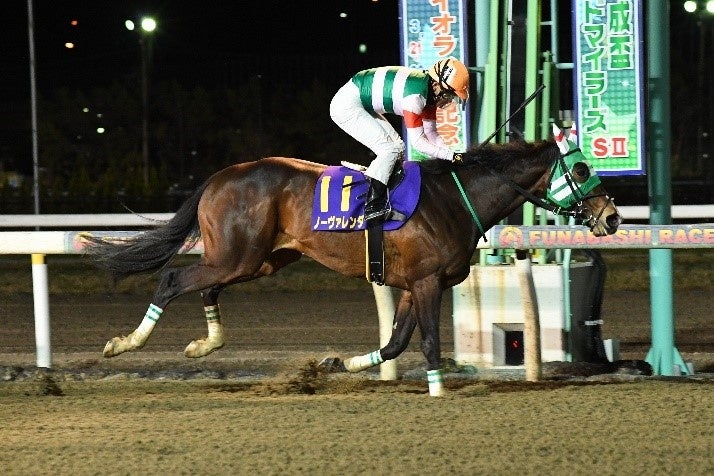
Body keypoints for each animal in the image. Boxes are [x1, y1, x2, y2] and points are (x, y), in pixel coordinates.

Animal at [87, 125, 616, 394]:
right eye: (582, 168)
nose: (610, 218)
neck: (454, 198)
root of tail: (218, 177)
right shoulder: (426, 281)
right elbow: (426, 342)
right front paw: (439, 391)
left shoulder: (414, 284)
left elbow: (395, 342)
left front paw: (340, 363)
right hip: (237, 256)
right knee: (173, 280)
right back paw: (125, 344)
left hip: (257, 260)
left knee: (207, 287)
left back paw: (204, 345)